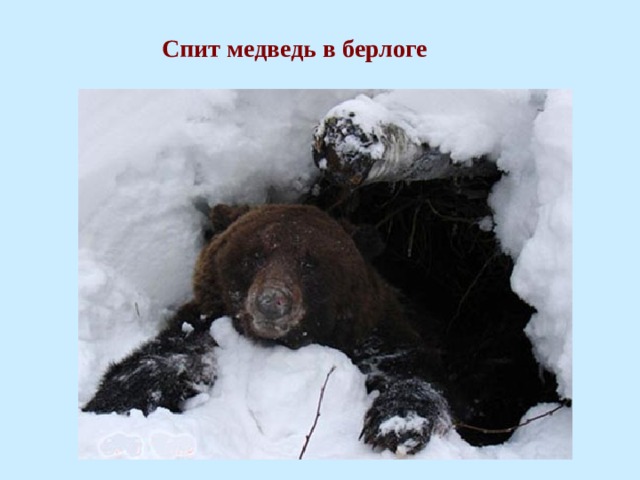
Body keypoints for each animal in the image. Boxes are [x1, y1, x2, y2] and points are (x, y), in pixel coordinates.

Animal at [83, 204, 452, 455]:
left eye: (310, 261)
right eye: (256, 254)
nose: (271, 301)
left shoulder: (378, 336)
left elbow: (408, 371)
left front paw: (398, 425)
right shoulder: (204, 327)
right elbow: (163, 360)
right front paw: (111, 403)